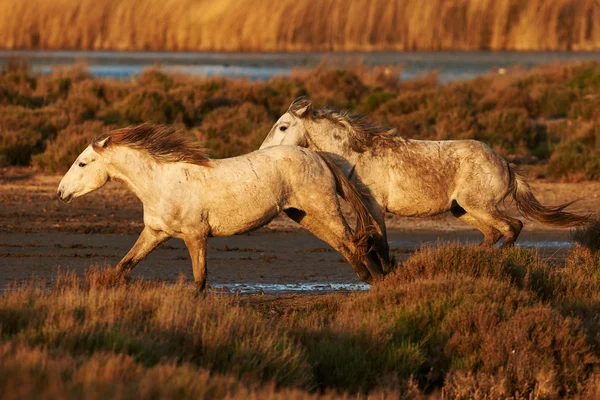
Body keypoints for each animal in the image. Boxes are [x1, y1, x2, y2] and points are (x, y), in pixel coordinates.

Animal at [57, 124, 384, 288]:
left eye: (82, 163)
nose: (60, 192)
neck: (160, 183)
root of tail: (317, 156)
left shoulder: (195, 235)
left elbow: (200, 279)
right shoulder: (155, 233)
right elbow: (124, 265)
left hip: (323, 209)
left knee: (352, 242)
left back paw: (377, 280)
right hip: (304, 215)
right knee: (344, 244)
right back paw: (370, 278)